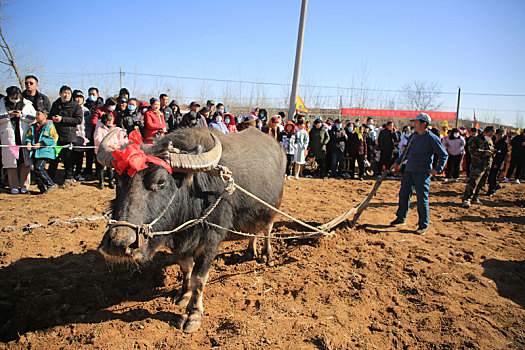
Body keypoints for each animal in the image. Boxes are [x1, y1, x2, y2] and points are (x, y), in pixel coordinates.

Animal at [96, 127, 284, 332]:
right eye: (118, 180)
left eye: (160, 181)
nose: (118, 243)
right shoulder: (179, 240)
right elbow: (186, 268)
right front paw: (183, 295)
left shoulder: (211, 238)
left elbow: (198, 277)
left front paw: (193, 314)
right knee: (254, 231)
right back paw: (251, 250)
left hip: (272, 208)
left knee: (267, 230)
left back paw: (267, 255)